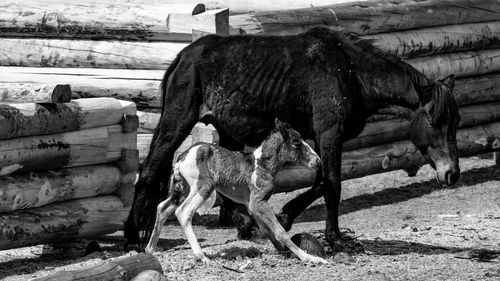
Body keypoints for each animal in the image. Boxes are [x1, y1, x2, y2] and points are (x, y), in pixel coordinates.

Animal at [126, 26, 460, 247]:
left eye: (455, 121)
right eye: (434, 121)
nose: (452, 174)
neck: (350, 72)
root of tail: (184, 55)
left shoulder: (322, 140)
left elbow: (321, 182)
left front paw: (283, 218)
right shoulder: (329, 136)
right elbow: (332, 185)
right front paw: (334, 239)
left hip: (225, 133)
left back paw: (246, 227)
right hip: (177, 122)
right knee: (149, 173)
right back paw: (131, 238)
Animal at [145, 118, 326, 262]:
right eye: (296, 142)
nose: (317, 161)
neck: (261, 165)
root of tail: (181, 159)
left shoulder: (251, 204)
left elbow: (267, 229)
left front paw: (285, 251)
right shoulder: (259, 201)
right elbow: (279, 230)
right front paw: (310, 258)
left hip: (183, 190)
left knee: (162, 208)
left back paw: (151, 249)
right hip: (204, 187)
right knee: (183, 212)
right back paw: (201, 256)